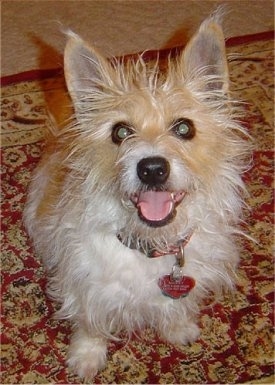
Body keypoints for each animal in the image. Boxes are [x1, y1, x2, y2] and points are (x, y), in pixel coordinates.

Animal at [24, 11, 251, 378]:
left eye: (184, 128)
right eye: (120, 132)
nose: (152, 168)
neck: (152, 245)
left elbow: (176, 307)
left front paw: (178, 328)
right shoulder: (86, 286)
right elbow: (90, 323)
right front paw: (86, 357)